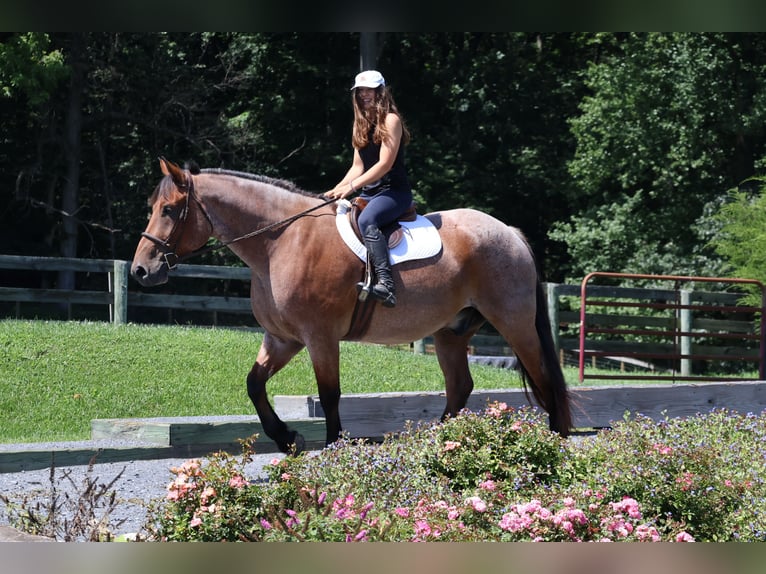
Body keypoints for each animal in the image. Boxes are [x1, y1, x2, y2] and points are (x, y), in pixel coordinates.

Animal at [131, 158, 572, 453]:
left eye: (169, 210)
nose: (141, 270)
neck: (280, 240)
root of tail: (508, 231)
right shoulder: (282, 338)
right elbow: (254, 384)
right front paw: (287, 438)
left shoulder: (320, 337)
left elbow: (329, 394)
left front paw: (332, 446)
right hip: (450, 333)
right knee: (460, 386)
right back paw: (434, 443)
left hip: (514, 324)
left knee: (544, 378)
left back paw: (556, 438)